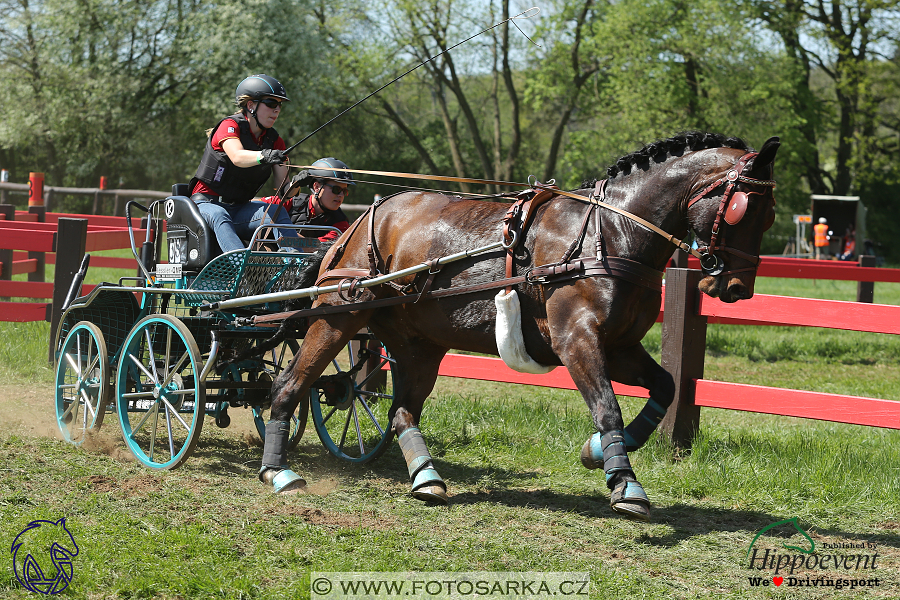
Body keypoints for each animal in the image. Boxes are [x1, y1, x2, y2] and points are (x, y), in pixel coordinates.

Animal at [260, 131, 780, 520]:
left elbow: (666, 387)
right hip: (337, 317)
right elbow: (607, 407)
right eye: (744, 209)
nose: (736, 287)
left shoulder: (620, 346)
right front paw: (625, 483)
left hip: (418, 344)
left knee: (403, 412)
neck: (609, 234)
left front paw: (600, 451)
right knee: (290, 384)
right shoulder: (576, 340)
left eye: (768, 215)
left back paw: (426, 477)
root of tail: (362, 219)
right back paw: (278, 471)